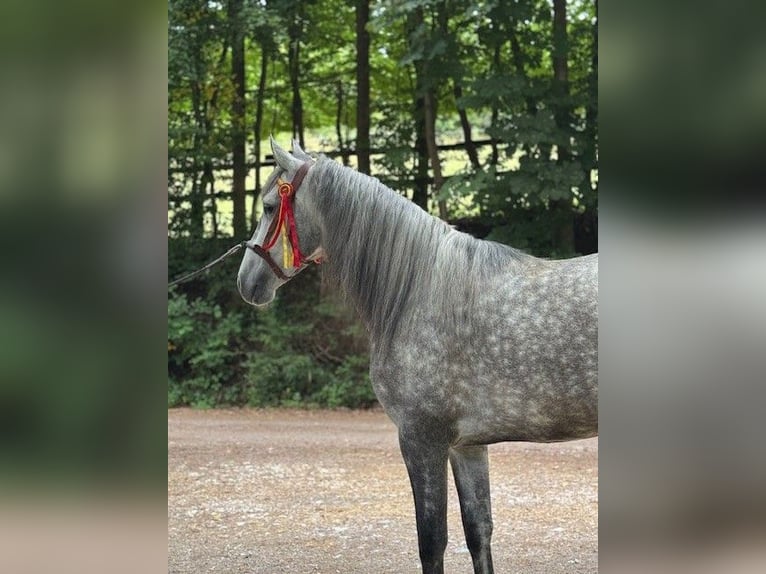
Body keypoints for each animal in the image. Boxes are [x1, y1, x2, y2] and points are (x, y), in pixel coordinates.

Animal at [237, 138, 598, 574]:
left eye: (269, 205)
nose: (246, 282)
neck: (419, 290)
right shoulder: (466, 446)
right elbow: (479, 532)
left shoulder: (421, 440)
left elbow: (432, 541)